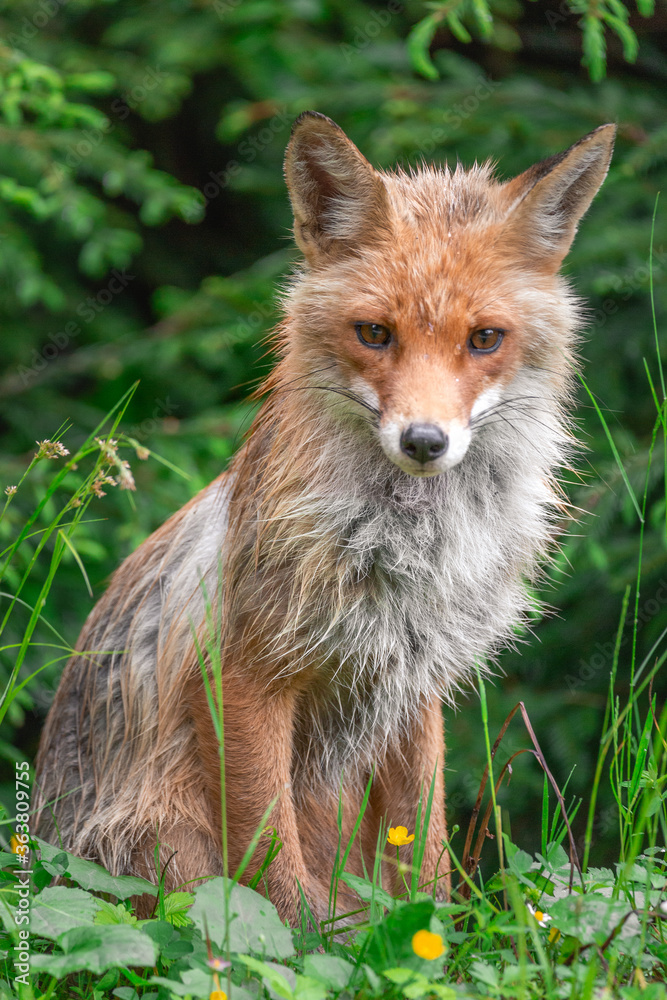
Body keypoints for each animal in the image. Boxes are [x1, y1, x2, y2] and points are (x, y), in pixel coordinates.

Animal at [34, 113, 615, 926]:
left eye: (484, 339)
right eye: (374, 333)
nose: (424, 441)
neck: (402, 552)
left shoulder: (412, 684)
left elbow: (424, 862)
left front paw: (425, 938)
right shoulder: (243, 675)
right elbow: (274, 881)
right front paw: (302, 938)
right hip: (160, 839)